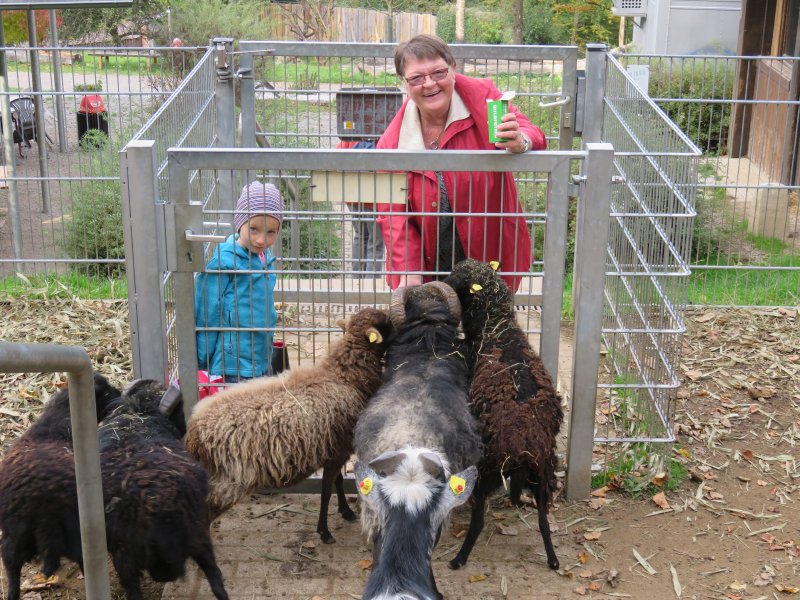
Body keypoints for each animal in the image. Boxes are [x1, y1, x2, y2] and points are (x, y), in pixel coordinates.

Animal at [0, 373, 121, 600]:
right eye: (106, 392)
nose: (120, 393)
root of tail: (41, 508)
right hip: (74, 532)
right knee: (85, 560)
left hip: (14, 535)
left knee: (10, 564)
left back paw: (12, 594)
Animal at [184, 307, 395, 543]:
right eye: (386, 323)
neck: (344, 376)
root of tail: (193, 432)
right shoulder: (338, 450)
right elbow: (326, 491)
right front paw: (324, 531)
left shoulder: (334, 448)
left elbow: (339, 481)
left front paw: (345, 511)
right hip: (230, 480)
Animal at [444, 258, 563, 571]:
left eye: (457, 281)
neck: (498, 327)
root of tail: (522, 450)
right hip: (543, 474)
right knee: (543, 521)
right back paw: (553, 559)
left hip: (486, 471)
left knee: (478, 522)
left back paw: (458, 559)